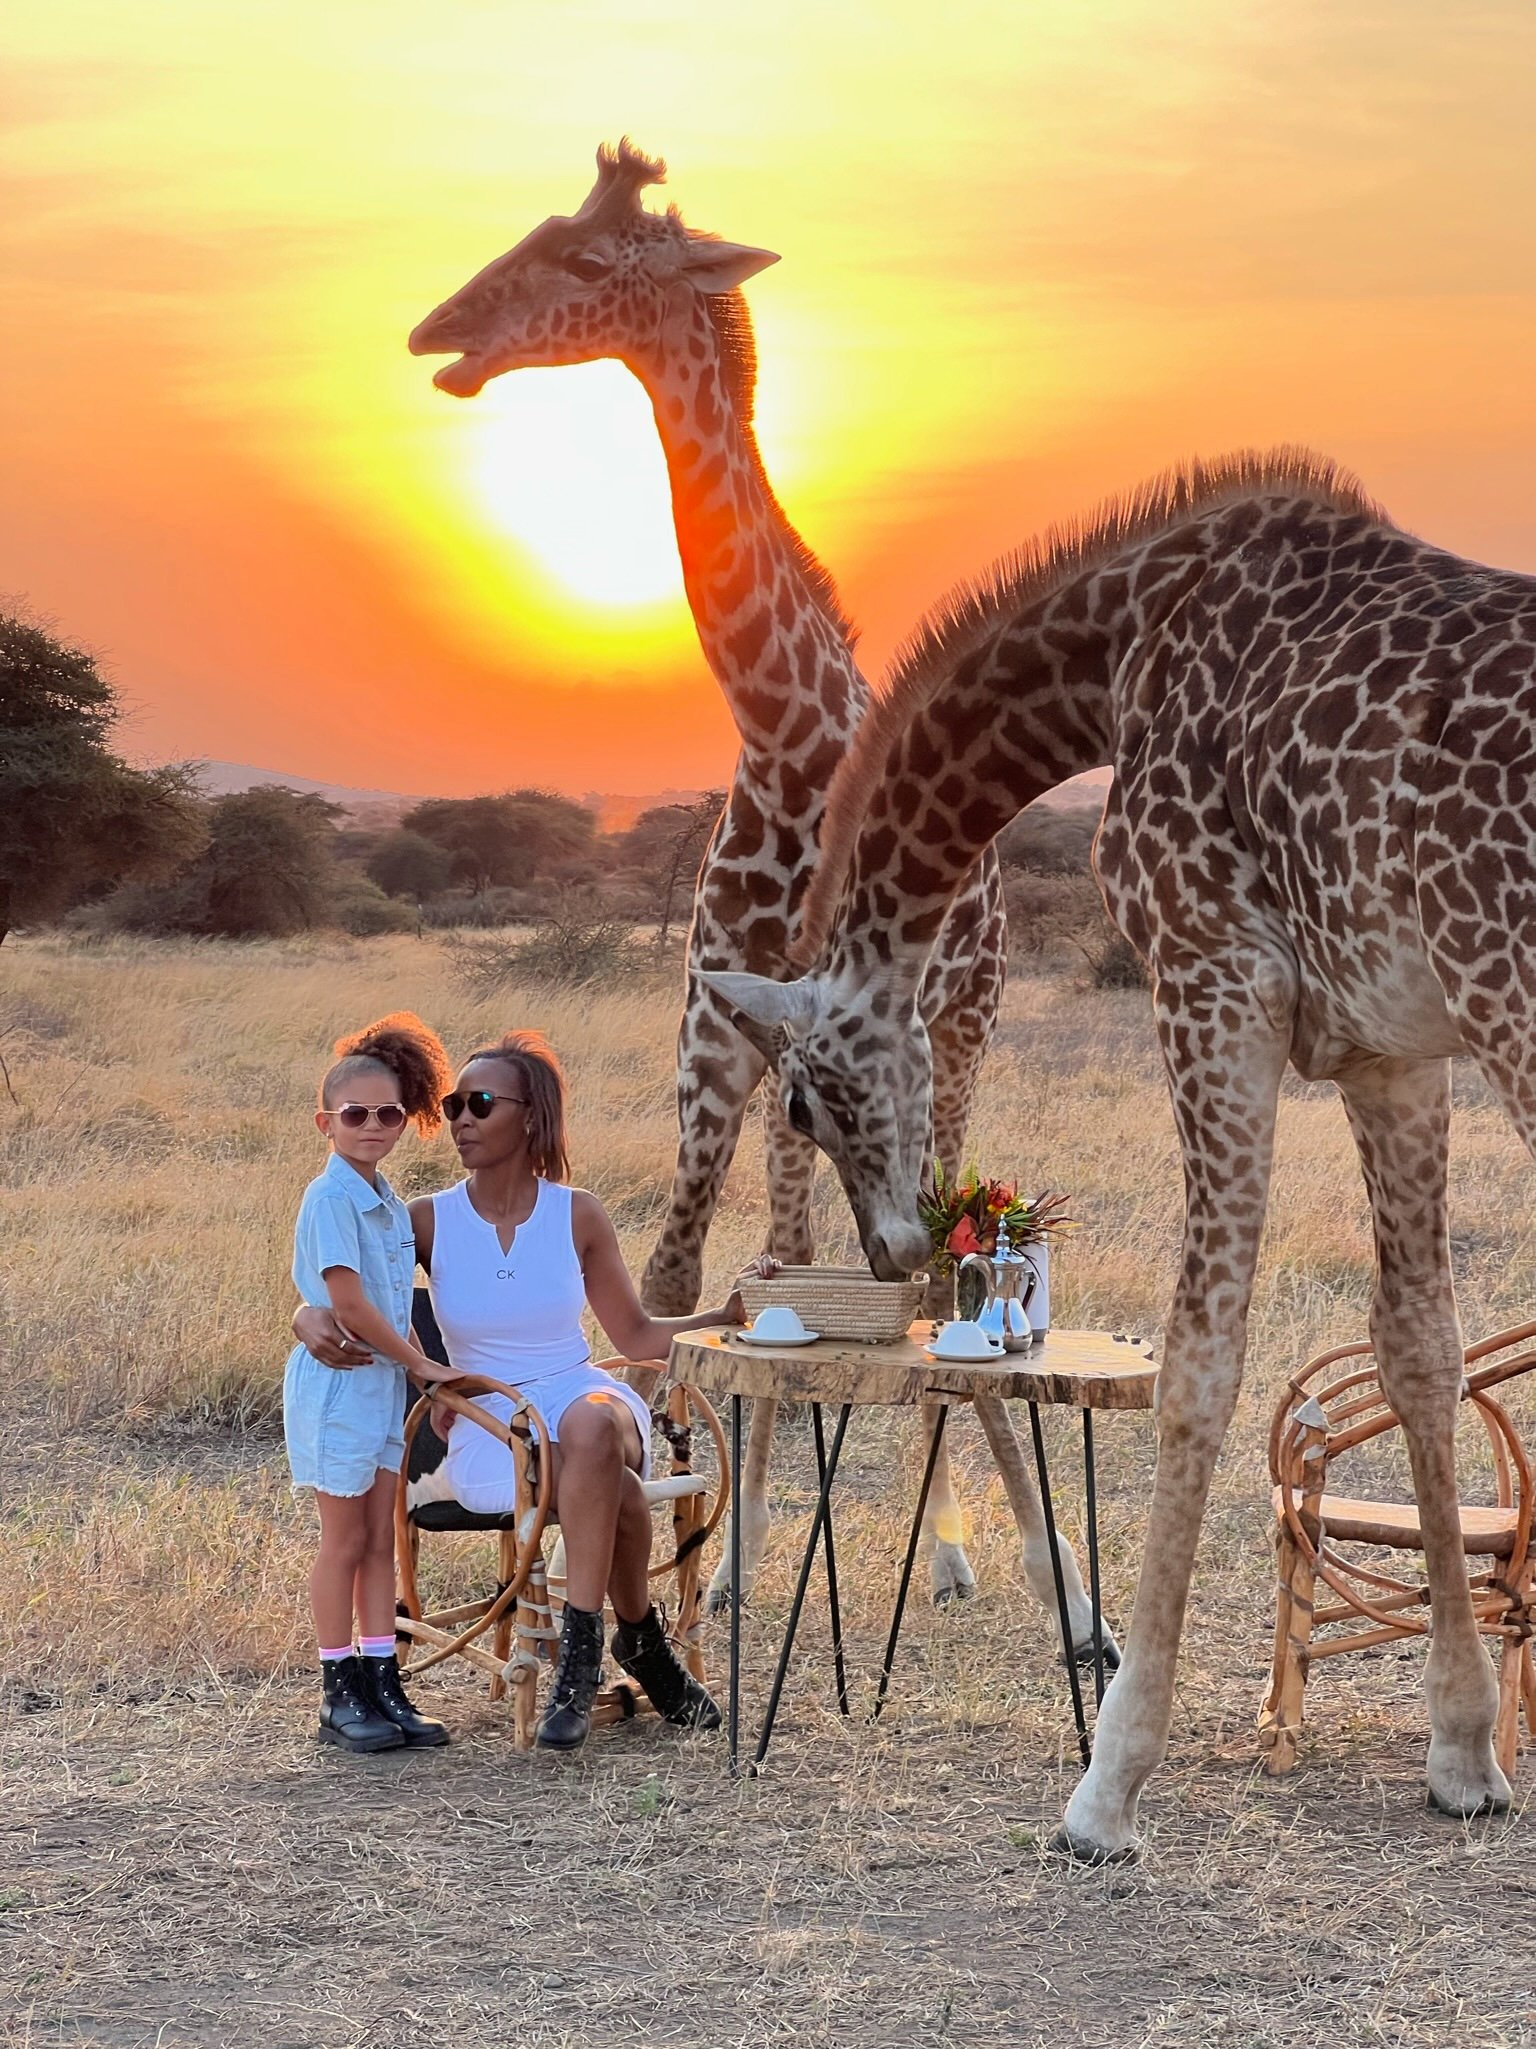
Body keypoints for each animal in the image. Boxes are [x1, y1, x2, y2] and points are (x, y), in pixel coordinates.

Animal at [407, 142, 1107, 1638]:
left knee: (938, 1241)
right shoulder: (717, 1034)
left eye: (581, 259)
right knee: (802, 1241)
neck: (786, 749)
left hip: (968, 1025)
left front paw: (1055, 1582)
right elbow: (688, 1279)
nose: (440, 334)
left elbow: (921, 1266)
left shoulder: (885, 1038)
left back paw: (966, 1552)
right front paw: (700, 1560)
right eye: (536, 228)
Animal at [706, 448, 1535, 1859]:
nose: (892, 1247)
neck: (1112, 659)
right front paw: (1464, 1751)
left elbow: (1200, 1360)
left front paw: (1108, 1781)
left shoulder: (1211, 977)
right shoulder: (1396, 1047)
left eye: (808, 1102)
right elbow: (1421, 1346)